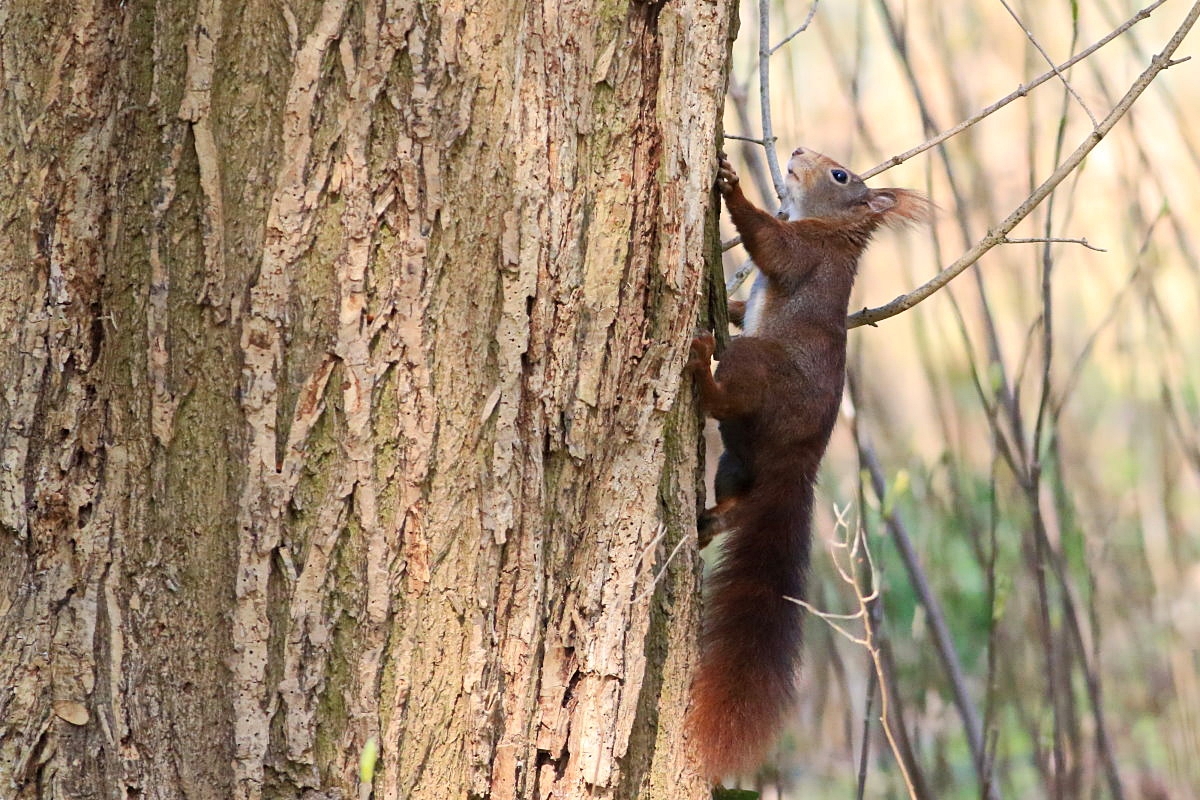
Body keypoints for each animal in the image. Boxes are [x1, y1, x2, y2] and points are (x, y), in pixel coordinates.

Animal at [686, 148, 926, 777]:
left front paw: (731, 187)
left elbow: (769, 246)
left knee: (726, 396)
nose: (795, 153)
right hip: (737, 459)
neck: (833, 230)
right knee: (739, 500)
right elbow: (748, 292)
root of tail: (800, 462)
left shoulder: (806, 255)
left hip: (756, 367)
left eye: (840, 174)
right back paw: (709, 521)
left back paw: (701, 366)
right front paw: (736, 304)